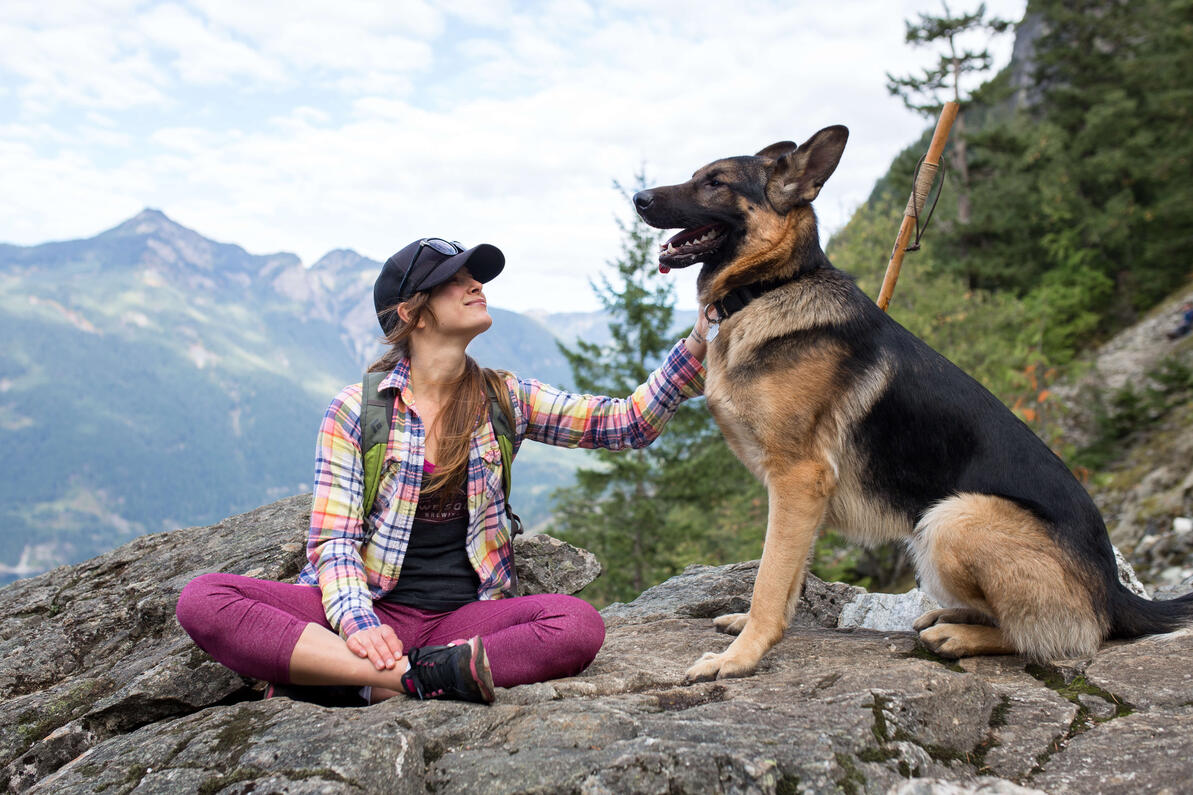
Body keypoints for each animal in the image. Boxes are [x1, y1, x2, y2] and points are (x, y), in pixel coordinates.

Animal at [639, 125, 1193, 682]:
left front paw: (742, 656)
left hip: (951, 519)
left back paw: (961, 634)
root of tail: (1115, 593)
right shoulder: (803, 495)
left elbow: (770, 577)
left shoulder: (798, 478)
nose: (639, 198)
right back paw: (951, 615)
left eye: (715, 182)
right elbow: (790, 575)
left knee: (1055, 637)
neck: (771, 285)